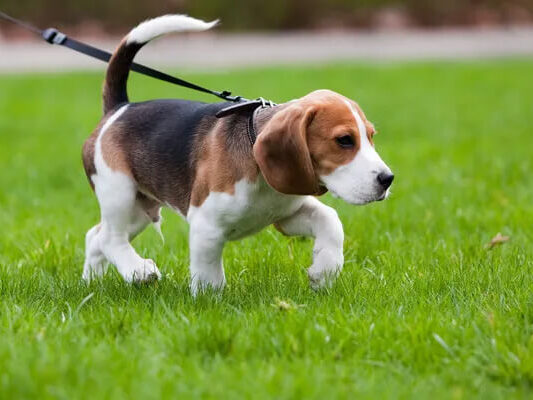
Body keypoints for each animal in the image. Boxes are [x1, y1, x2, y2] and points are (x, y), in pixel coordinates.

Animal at [81, 14, 392, 294]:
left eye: (371, 136)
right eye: (344, 140)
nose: (388, 179)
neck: (260, 172)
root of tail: (120, 108)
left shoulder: (287, 214)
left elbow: (330, 220)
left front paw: (324, 272)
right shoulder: (206, 225)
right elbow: (209, 275)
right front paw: (209, 302)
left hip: (140, 209)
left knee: (94, 236)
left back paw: (92, 283)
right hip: (119, 192)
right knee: (110, 238)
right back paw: (138, 270)